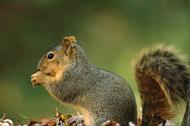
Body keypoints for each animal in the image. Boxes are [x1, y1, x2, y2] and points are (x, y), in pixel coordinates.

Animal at [30, 36, 190, 125]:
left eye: (50, 56)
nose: (38, 67)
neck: (75, 65)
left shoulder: (75, 79)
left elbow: (61, 91)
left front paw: (39, 77)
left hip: (102, 119)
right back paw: (79, 118)